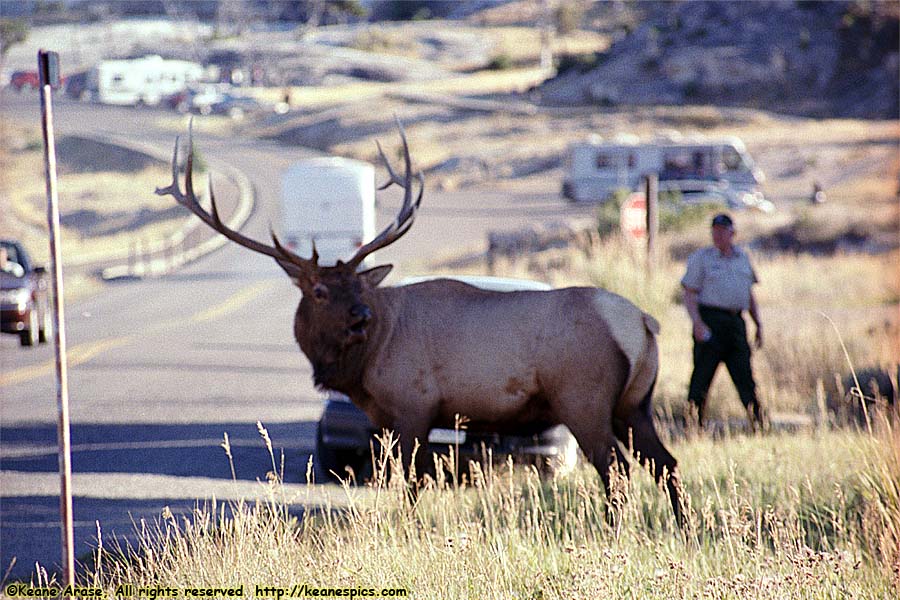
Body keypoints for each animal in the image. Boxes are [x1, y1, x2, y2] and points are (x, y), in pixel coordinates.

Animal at [158, 123, 684, 524]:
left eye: (359, 286)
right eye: (321, 291)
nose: (361, 316)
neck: (365, 366)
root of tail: (643, 323)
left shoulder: (413, 405)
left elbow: (410, 482)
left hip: (583, 398)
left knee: (616, 470)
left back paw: (617, 530)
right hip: (635, 403)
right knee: (665, 463)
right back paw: (679, 530)